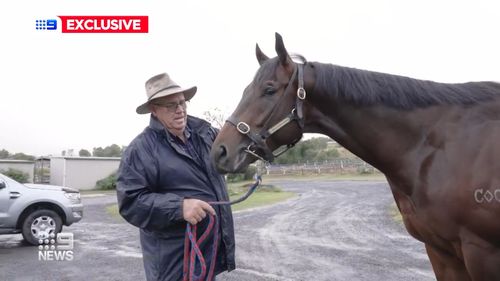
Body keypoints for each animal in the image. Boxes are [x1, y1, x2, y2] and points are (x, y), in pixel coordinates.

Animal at [210, 33, 500, 280]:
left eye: (269, 90)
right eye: (246, 89)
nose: (219, 151)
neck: (438, 147)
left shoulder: (481, 252)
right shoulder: (441, 252)